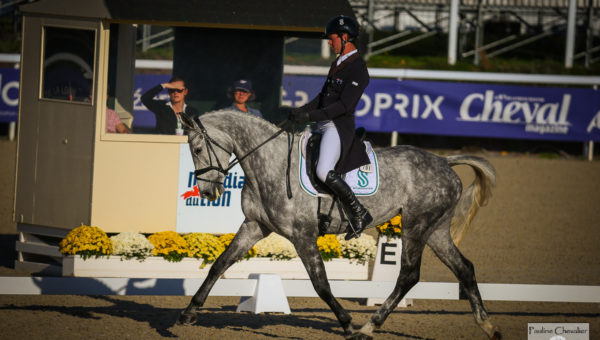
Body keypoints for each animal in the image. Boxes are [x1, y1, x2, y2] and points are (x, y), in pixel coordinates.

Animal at [177, 110, 502, 338]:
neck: (269, 163)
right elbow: (220, 264)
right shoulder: (255, 226)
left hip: (416, 226)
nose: (207, 192)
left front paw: (346, 324)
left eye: (197, 149)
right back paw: (488, 327)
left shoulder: (302, 236)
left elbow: (320, 283)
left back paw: (368, 328)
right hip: (435, 229)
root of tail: (444, 162)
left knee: (409, 275)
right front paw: (189, 313)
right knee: (464, 268)